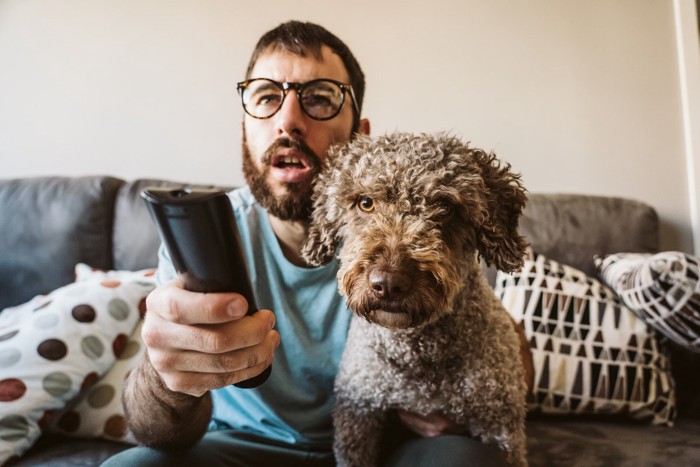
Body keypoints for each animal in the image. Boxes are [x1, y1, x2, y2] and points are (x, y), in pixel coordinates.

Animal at [304, 132, 528, 467]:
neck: (417, 356)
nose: (387, 284)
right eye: (365, 203)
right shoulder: (358, 417)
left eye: (445, 206)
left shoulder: (501, 427)